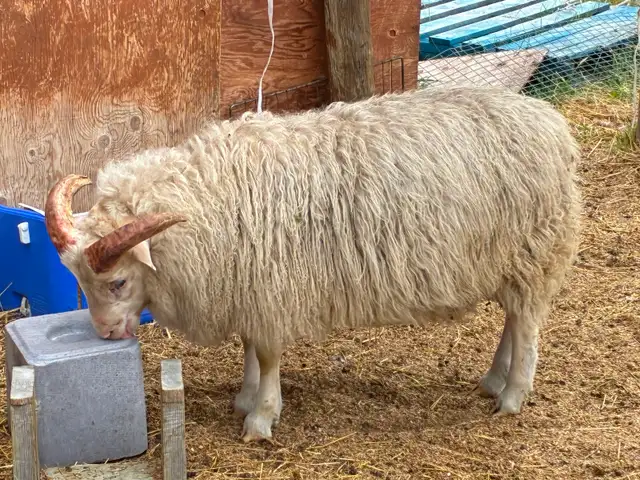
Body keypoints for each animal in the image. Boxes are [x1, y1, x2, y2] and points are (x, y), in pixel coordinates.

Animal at [44, 85, 582, 443]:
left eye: (117, 282)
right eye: (79, 281)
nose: (105, 335)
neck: (209, 197)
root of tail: (550, 122)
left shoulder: (270, 288)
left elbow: (266, 355)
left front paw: (260, 418)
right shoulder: (249, 286)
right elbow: (249, 346)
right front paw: (245, 397)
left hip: (536, 252)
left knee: (528, 326)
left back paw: (512, 397)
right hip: (510, 262)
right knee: (515, 318)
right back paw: (494, 380)